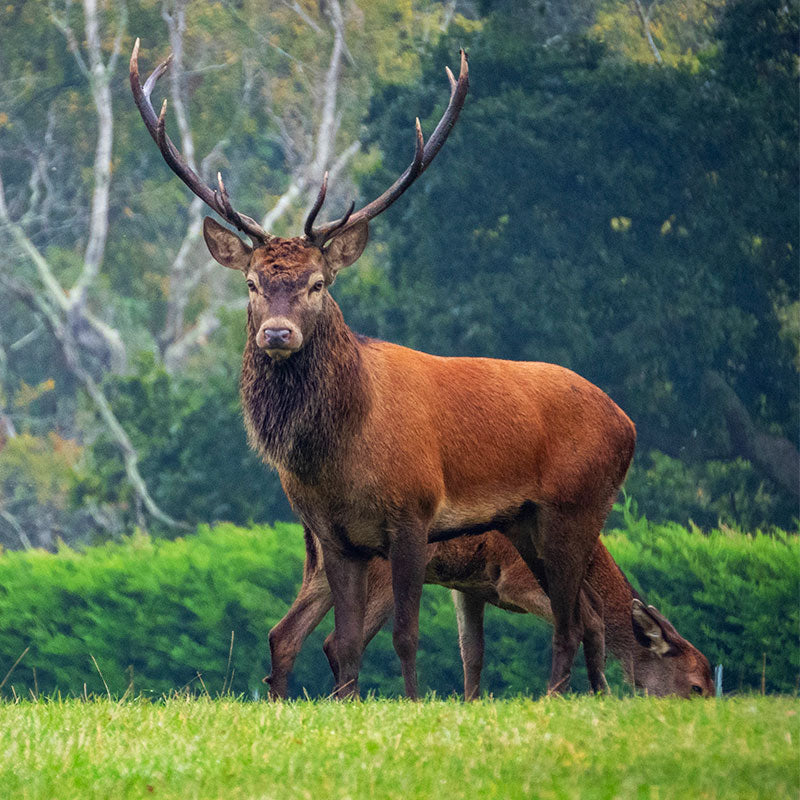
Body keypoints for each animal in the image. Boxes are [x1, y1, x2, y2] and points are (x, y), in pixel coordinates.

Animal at [131, 40, 636, 696]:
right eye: (251, 283)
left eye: (318, 283)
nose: (277, 333)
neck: (340, 454)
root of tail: (627, 423)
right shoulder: (335, 536)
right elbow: (344, 644)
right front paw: (346, 703)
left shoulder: (414, 515)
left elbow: (406, 635)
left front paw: (415, 703)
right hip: (528, 523)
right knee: (586, 613)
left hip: (578, 506)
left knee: (572, 619)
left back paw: (561, 699)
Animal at [266, 532, 716, 700]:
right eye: (696, 687)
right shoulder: (514, 580)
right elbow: (593, 617)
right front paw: (595, 694)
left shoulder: (468, 588)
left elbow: (473, 652)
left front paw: (472, 704)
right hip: (379, 571)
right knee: (337, 640)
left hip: (319, 569)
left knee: (284, 632)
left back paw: (283, 701)